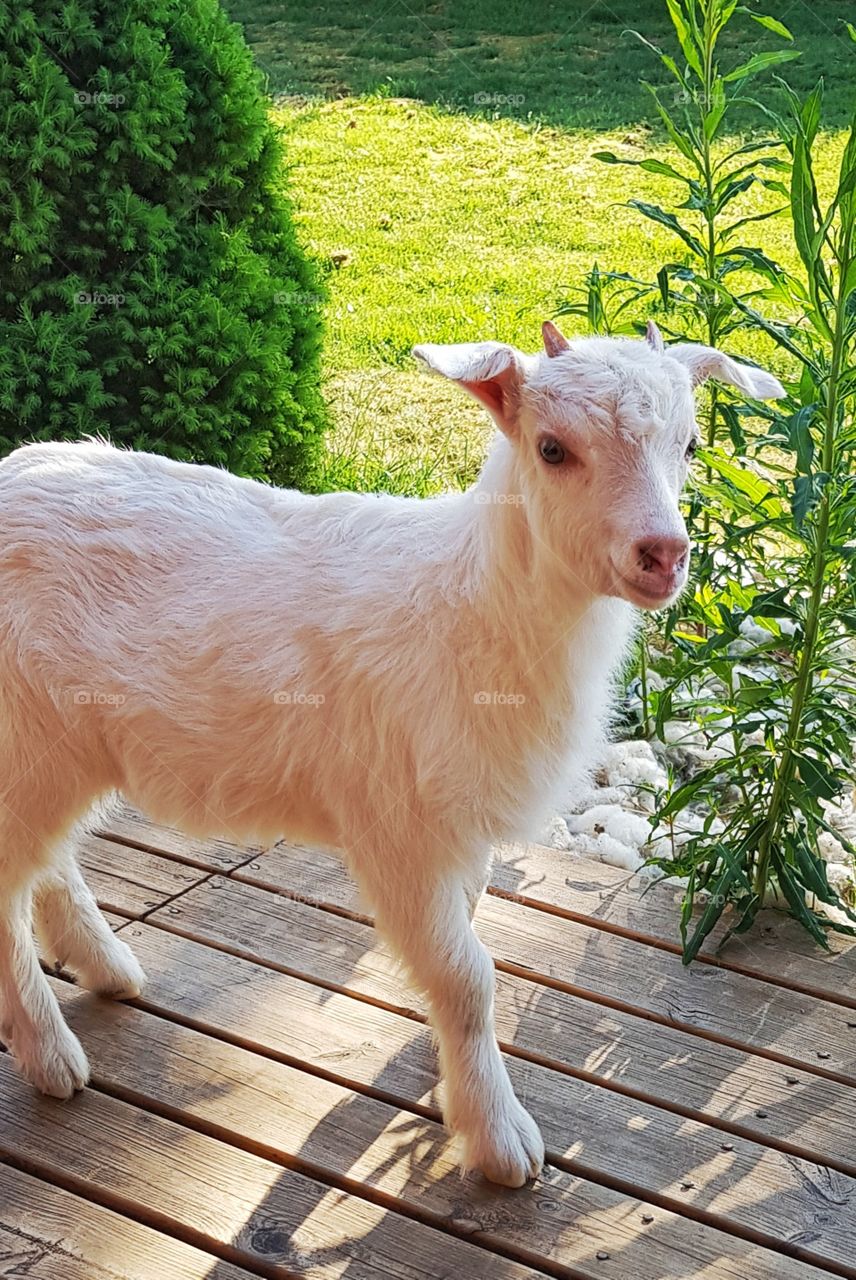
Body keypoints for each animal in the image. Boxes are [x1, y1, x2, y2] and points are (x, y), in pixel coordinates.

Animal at [0, 321, 783, 1186]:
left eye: (690, 444)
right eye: (551, 449)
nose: (663, 554)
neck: (475, 606)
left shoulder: (460, 824)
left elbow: (463, 945)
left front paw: (449, 1079)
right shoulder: (398, 826)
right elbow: (470, 977)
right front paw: (499, 1138)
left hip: (62, 752)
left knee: (48, 863)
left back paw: (107, 967)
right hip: (24, 737)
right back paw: (50, 1054)